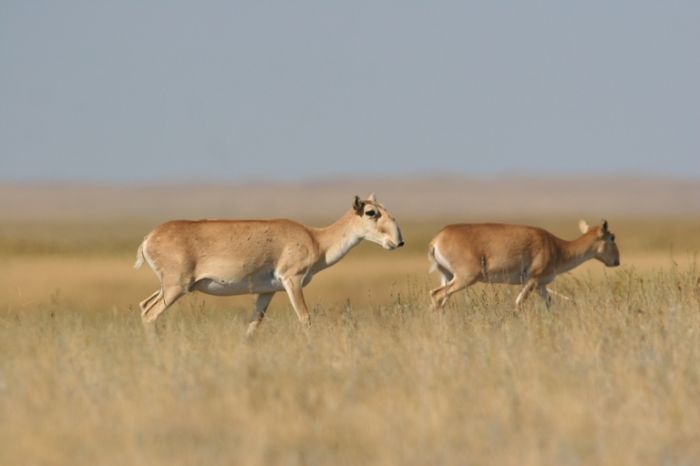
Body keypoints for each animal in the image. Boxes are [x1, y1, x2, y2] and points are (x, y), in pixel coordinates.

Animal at [135, 194, 404, 334]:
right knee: (150, 314)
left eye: (384, 207)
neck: (316, 239)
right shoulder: (292, 280)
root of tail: (148, 238)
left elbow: (253, 327)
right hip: (176, 288)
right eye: (371, 212)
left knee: (144, 305)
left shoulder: (267, 292)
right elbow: (305, 318)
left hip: (171, 287)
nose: (398, 241)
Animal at [430, 220, 620, 312]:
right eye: (612, 237)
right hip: (465, 278)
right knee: (436, 295)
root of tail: (438, 238)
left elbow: (549, 304)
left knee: (440, 299)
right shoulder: (532, 281)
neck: (555, 246)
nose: (617, 261)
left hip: (447, 276)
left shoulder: (541, 286)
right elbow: (518, 304)